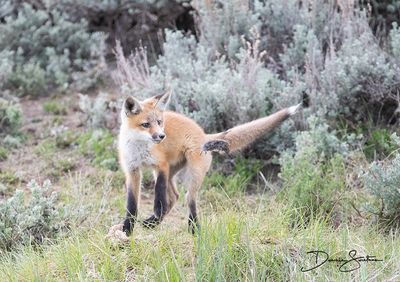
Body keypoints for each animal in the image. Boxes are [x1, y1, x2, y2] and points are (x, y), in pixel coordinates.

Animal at [118, 92, 300, 234]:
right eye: (145, 124)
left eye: (159, 122)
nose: (162, 136)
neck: (139, 150)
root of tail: (204, 134)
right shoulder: (133, 170)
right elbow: (131, 205)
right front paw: (127, 229)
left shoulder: (161, 165)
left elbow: (159, 194)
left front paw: (156, 210)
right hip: (172, 172)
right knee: (174, 196)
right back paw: (153, 223)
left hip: (191, 174)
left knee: (188, 198)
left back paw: (193, 229)